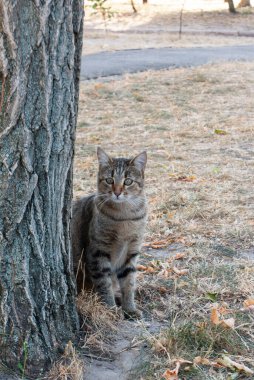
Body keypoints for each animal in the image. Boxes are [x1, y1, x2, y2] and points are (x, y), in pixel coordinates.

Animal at [70, 147, 148, 320]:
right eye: (109, 180)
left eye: (128, 181)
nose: (117, 192)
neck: (125, 217)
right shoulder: (98, 253)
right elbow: (104, 283)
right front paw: (110, 309)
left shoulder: (131, 252)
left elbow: (129, 283)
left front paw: (129, 308)